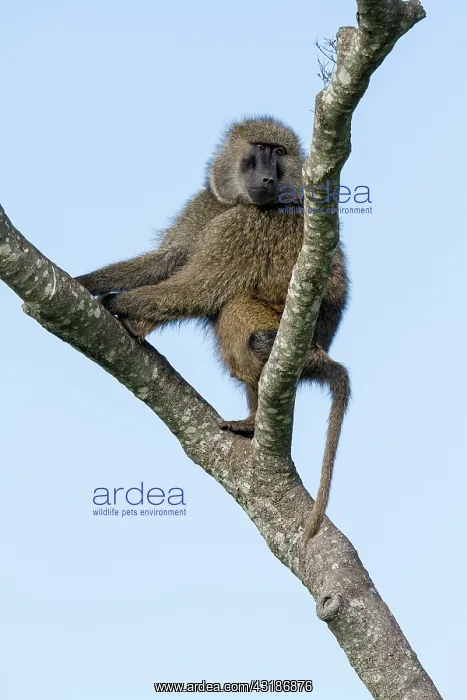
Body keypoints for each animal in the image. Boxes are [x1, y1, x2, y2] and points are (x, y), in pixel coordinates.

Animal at [76, 116, 350, 540]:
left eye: (280, 153)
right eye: (259, 149)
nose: (268, 178)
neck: (240, 202)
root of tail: (323, 349)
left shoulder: (245, 226)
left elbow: (200, 287)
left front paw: (117, 304)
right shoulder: (207, 204)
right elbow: (168, 259)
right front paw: (88, 282)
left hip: (291, 334)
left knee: (235, 311)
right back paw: (252, 421)